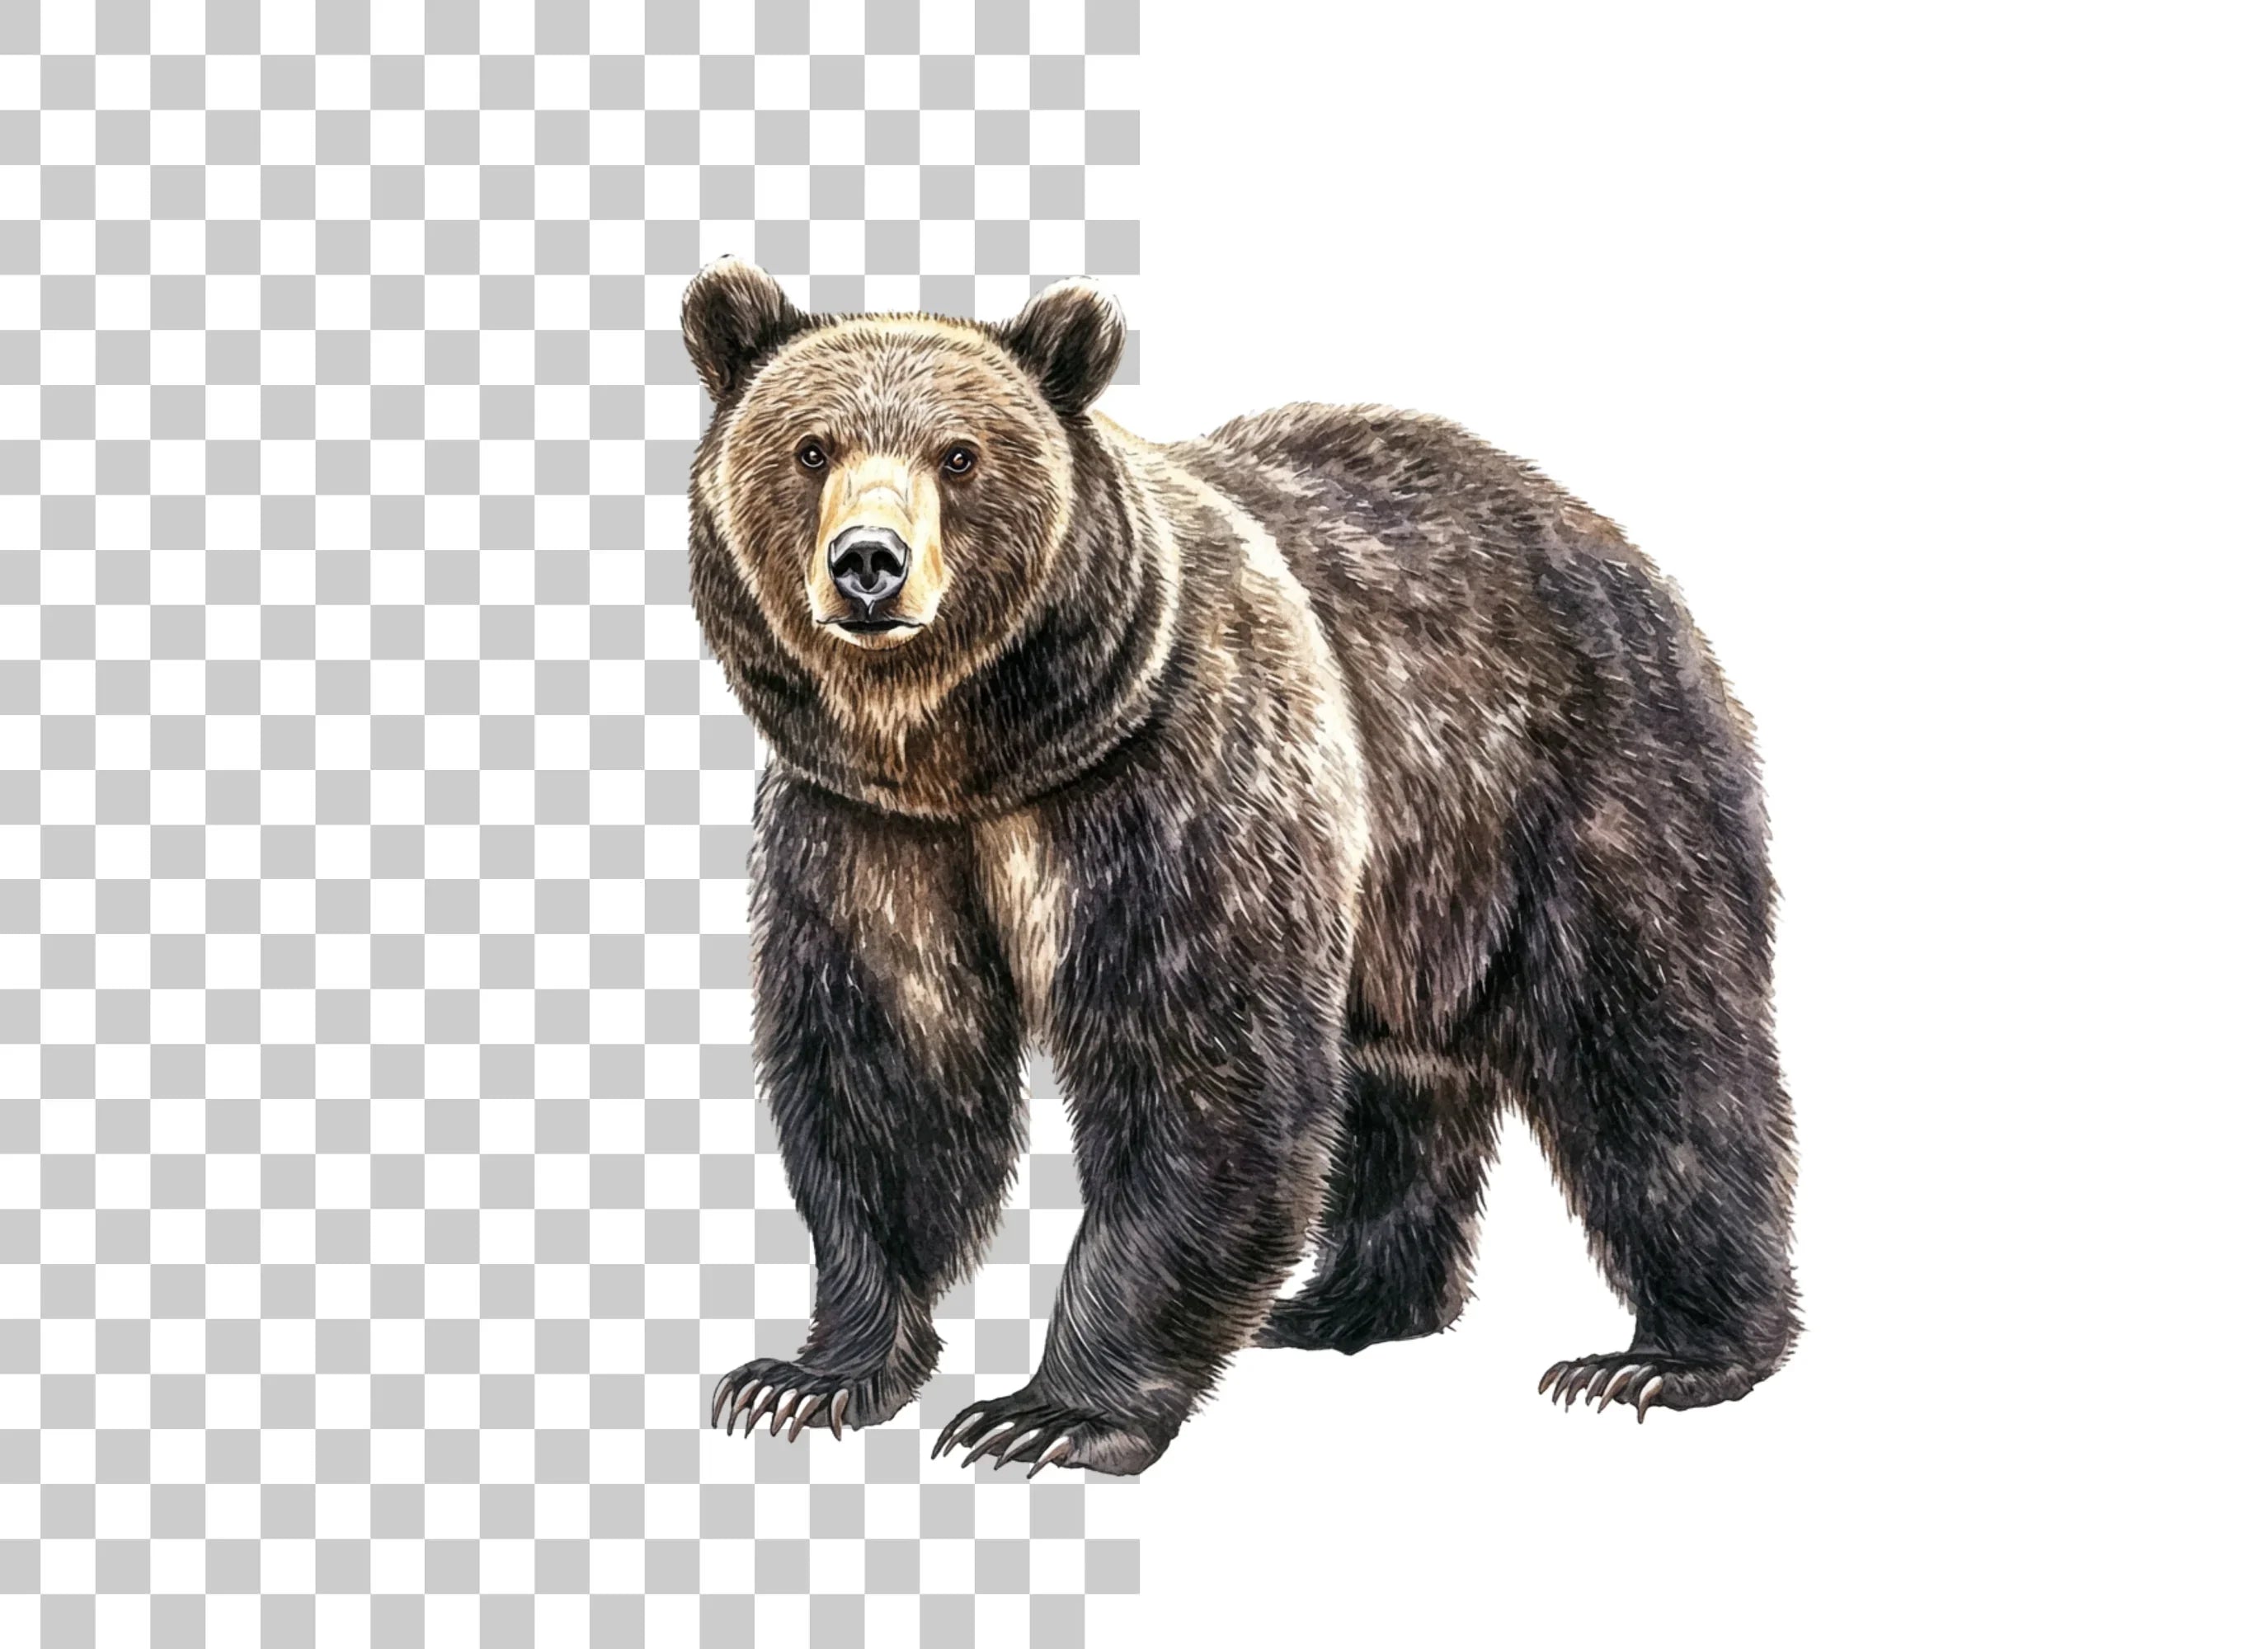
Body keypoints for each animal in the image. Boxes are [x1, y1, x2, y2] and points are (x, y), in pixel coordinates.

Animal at [684, 258, 1799, 1476]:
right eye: (810, 448)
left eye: (961, 455)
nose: (868, 564)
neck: (976, 759)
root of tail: (1614, 544)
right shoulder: (863, 831)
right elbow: (886, 1071)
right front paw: (808, 1375)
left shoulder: (1178, 782)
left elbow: (1202, 1072)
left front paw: (1049, 1412)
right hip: (1407, 887)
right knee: (1394, 1081)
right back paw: (1347, 1300)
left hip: (1580, 789)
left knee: (1653, 1052)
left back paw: (1672, 1353)